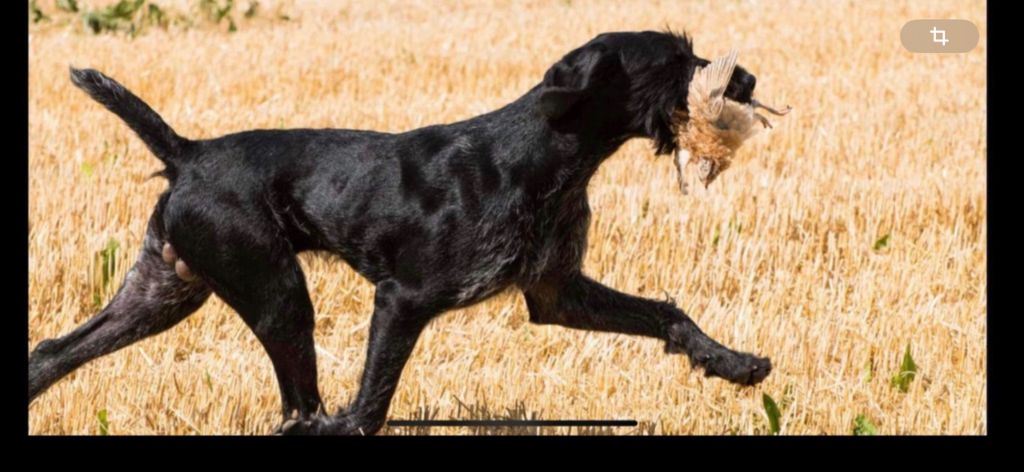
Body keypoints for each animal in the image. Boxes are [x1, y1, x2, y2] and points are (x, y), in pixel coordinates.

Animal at [29, 30, 773, 435]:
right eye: (675, 60)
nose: (746, 77)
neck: (546, 153)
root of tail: (188, 153)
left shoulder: (558, 293)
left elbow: (668, 314)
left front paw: (731, 362)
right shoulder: (403, 301)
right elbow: (368, 408)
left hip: (162, 293)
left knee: (50, 353)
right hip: (278, 297)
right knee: (300, 407)